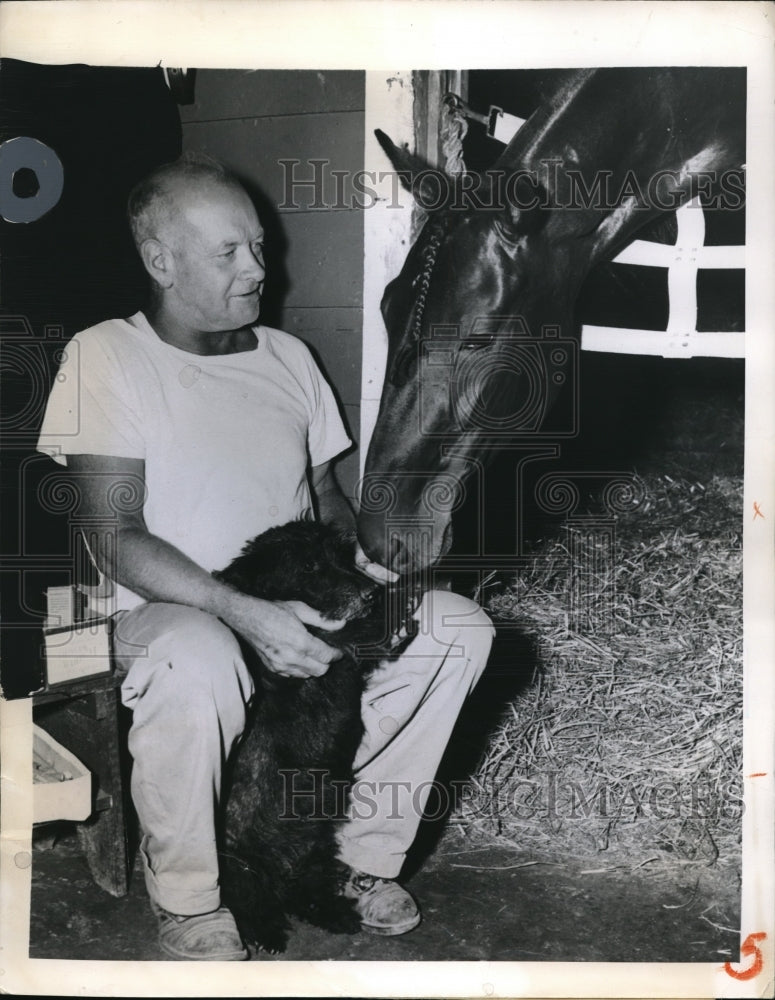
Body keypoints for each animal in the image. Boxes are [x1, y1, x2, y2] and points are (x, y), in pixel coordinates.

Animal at [214, 524, 412, 952]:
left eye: (342, 556)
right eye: (308, 566)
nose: (371, 593)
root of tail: (279, 872)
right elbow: (346, 632)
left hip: (318, 847)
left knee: (304, 892)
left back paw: (334, 913)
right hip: (235, 865)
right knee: (249, 900)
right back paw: (265, 931)